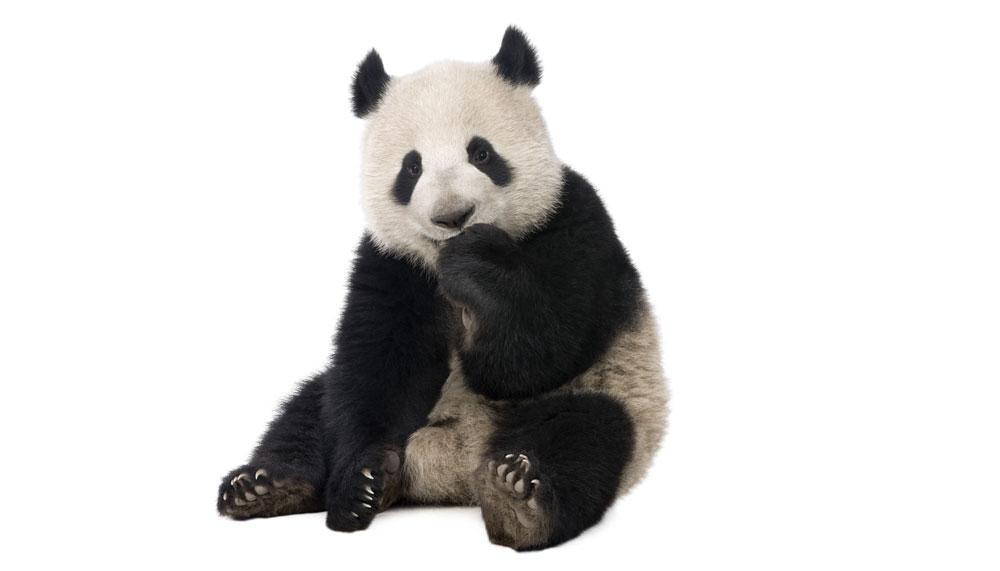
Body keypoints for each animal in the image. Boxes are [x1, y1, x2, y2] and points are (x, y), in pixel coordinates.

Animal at [217, 26, 669, 551]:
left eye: (482, 153)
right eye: (411, 168)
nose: (453, 217)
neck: (440, 262)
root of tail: (450, 471)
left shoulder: (573, 222)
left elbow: (536, 354)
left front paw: (477, 265)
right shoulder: (393, 262)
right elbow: (378, 367)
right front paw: (360, 485)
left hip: (613, 394)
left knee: (584, 435)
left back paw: (518, 500)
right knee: (310, 409)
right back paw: (266, 486)